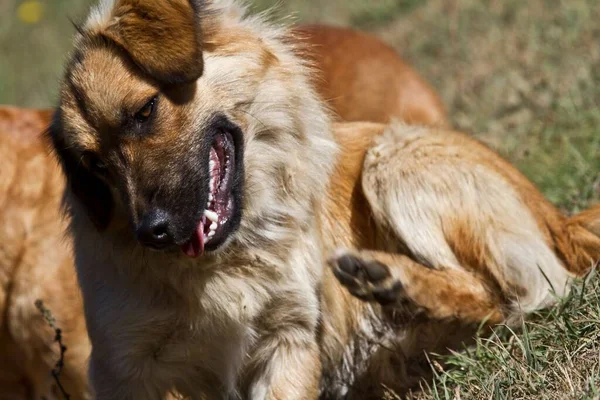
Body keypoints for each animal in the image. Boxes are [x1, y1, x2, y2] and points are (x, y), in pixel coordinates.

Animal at [47, 0, 600, 400]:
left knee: (507, 294)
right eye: (94, 165)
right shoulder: (128, 367)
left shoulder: (288, 339)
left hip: (394, 159)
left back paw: (390, 278)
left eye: (144, 111)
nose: (154, 232)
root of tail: (559, 219)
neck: (224, 268)